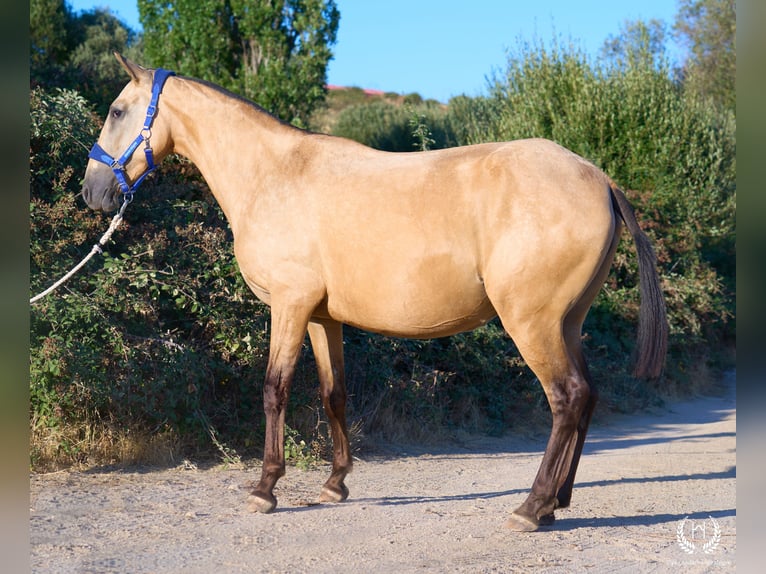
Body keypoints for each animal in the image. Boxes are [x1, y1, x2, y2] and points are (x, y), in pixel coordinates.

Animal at [82, 53, 667, 532]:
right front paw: (335, 483)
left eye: (115, 111)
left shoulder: (289, 306)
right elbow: (333, 393)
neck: (273, 173)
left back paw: (532, 507)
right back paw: (557, 501)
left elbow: (275, 389)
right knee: (587, 396)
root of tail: (599, 179)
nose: (91, 191)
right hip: (566, 323)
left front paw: (266, 488)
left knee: (566, 398)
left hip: (533, 323)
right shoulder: (322, 317)